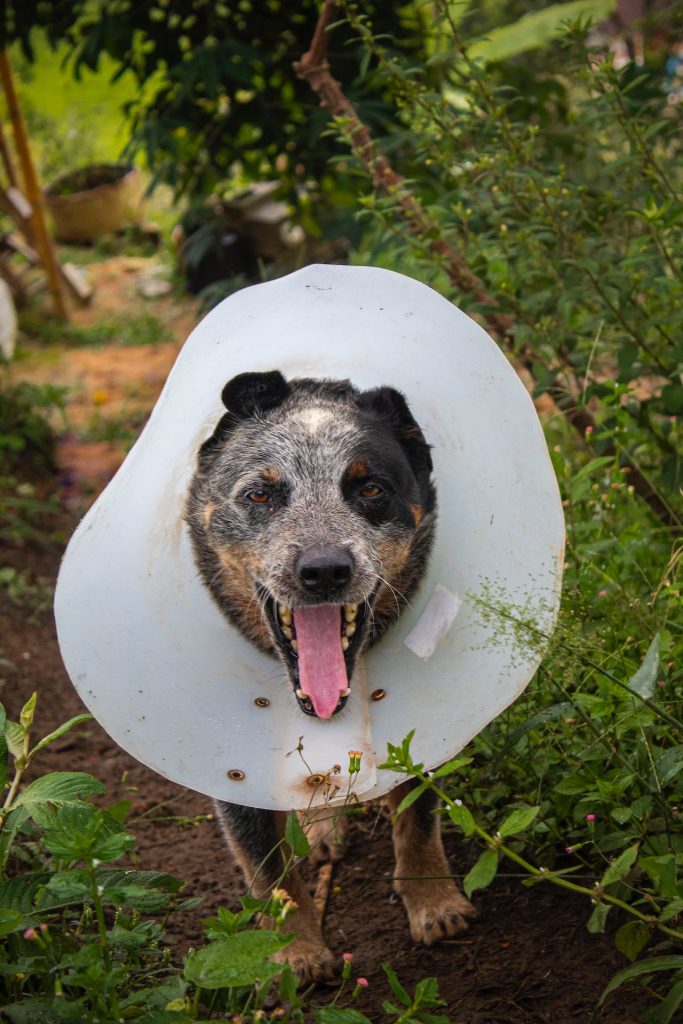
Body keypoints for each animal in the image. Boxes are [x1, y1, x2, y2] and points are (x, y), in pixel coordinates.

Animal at [184, 372, 479, 978]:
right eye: (260, 494)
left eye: (369, 489)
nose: (323, 570)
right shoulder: (228, 771)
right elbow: (267, 869)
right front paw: (294, 950)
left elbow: (417, 815)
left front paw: (433, 903)